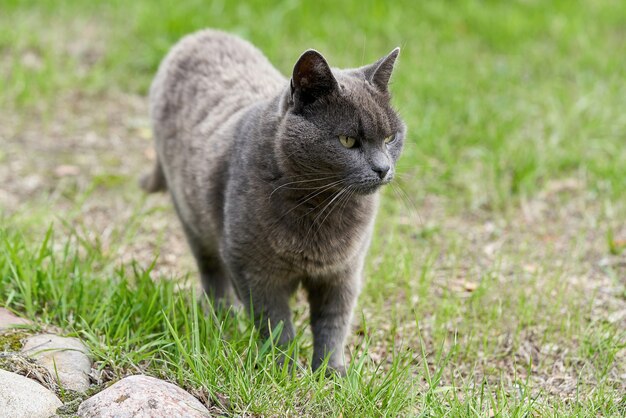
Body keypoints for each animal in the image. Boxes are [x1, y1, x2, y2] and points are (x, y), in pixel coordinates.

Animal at [141, 29, 404, 376]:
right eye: (348, 140)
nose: (383, 168)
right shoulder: (254, 270)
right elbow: (275, 324)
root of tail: (199, 35)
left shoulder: (343, 273)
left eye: (390, 138)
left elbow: (333, 324)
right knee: (212, 274)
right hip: (192, 218)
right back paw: (222, 321)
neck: (323, 208)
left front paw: (331, 374)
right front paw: (284, 372)